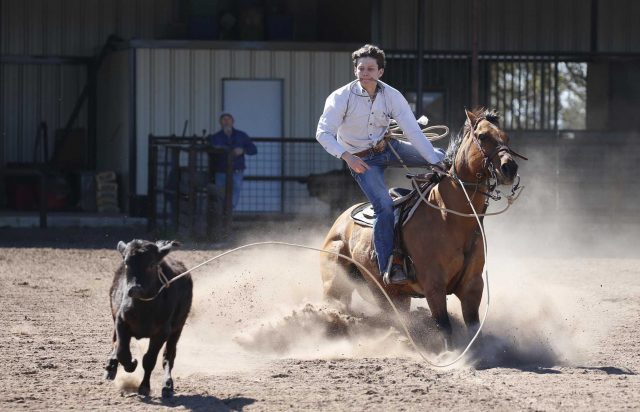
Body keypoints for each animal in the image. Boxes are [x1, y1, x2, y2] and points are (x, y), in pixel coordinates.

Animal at [320, 108, 524, 346]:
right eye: (482, 136)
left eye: (506, 138)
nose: (509, 168)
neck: (449, 218)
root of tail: (340, 222)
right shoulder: (434, 286)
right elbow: (444, 327)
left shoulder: (473, 286)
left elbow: (474, 329)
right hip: (335, 283)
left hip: (389, 293)